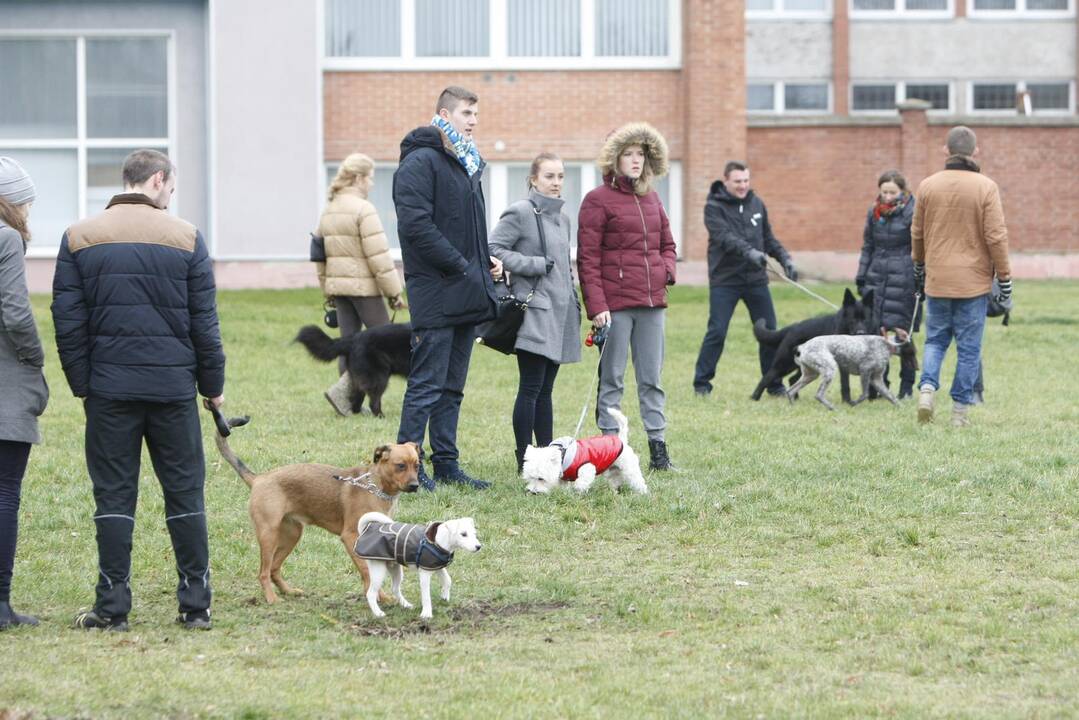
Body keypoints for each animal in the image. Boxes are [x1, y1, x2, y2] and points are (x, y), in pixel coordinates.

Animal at [208, 418, 418, 604]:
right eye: (400, 466)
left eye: (417, 465)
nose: (415, 485)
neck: (376, 487)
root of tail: (259, 478)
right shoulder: (351, 537)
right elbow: (366, 571)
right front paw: (377, 596)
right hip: (268, 535)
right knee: (264, 572)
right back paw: (271, 598)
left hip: (292, 534)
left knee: (274, 568)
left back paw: (288, 591)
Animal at [353, 511, 481, 621]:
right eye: (463, 534)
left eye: (475, 534)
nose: (479, 547)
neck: (438, 540)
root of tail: (365, 530)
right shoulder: (425, 573)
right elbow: (426, 596)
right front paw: (426, 614)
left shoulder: (437, 567)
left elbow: (447, 580)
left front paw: (445, 596)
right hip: (378, 571)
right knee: (371, 593)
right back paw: (378, 613)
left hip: (396, 570)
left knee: (395, 588)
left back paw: (406, 605)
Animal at [785, 332, 919, 410]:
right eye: (912, 351)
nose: (918, 368)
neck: (886, 345)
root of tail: (802, 347)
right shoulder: (865, 371)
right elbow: (865, 394)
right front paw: (852, 403)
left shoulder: (876, 379)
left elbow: (891, 396)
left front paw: (901, 407)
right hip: (830, 369)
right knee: (818, 394)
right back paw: (832, 408)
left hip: (811, 375)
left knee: (790, 391)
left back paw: (793, 408)